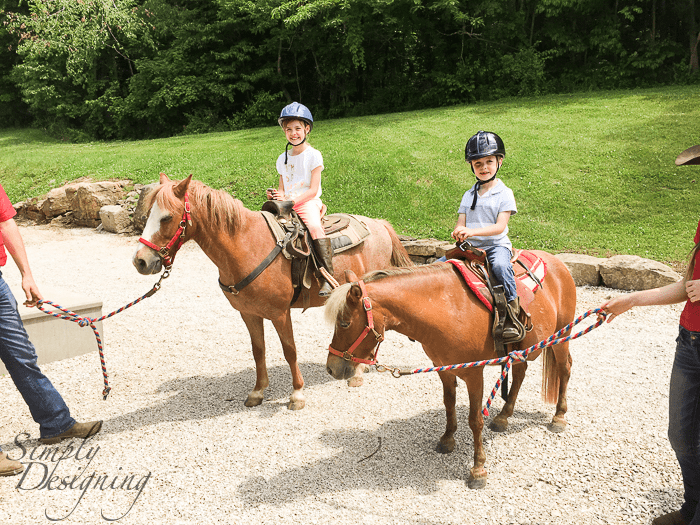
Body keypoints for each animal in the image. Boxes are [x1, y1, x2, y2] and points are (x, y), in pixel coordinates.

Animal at [134, 173, 412, 410]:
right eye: (147, 215)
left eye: (167, 217)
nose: (141, 261)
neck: (245, 245)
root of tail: (379, 224)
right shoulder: (249, 314)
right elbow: (259, 351)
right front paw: (258, 392)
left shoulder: (280, 314)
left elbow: (290, 351)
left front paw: (297, 394)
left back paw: (357, 374)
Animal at [326, 256, 576, 490]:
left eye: (345, 323)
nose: (331, 367)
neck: (448, 308)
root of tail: (559, 264)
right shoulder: (443, 369)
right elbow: (449, 405)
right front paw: (447, 440)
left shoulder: (474, 373)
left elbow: (475, 420)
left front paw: (478, 469)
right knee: (520, 373)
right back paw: (503, 416)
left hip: (562, 336)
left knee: (564, 369)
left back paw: (559, 416)